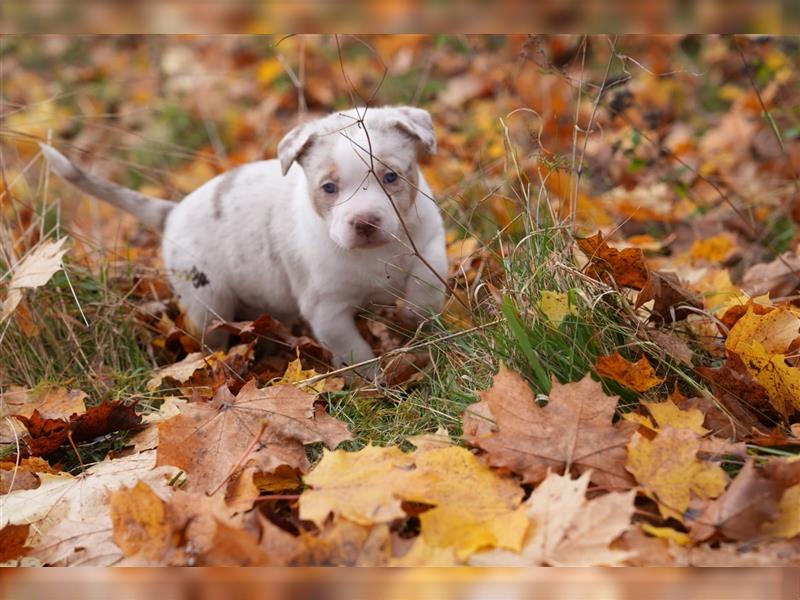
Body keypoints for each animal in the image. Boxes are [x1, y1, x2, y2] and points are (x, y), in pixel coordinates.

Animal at [40, 105, 446, 372]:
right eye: (329, 188)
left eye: (391, 177)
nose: (364, 222)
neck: (375, 254)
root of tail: (173, 212)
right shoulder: (327, 309)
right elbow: (354, 352)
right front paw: (374, 383)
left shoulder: (429, 240)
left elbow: (427, 283)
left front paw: (415, 314)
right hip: (208, 302)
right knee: (212, 340)